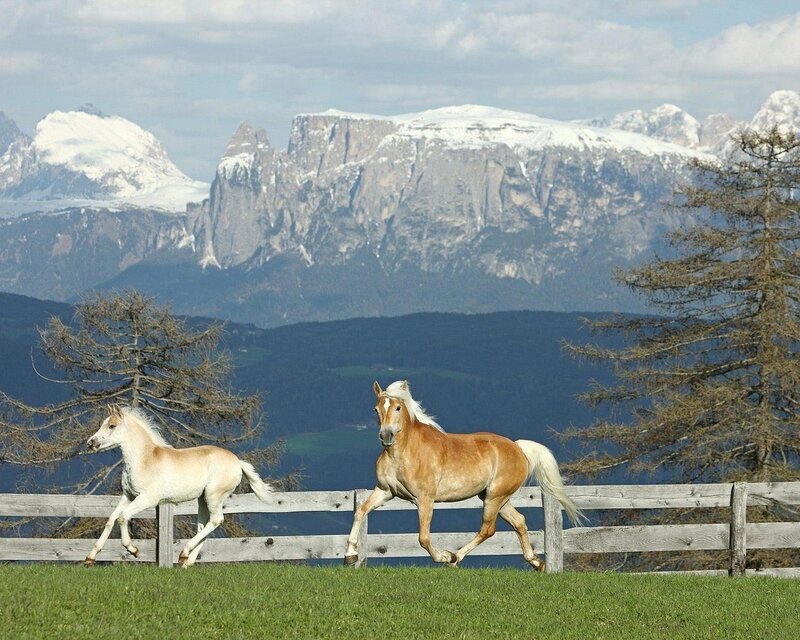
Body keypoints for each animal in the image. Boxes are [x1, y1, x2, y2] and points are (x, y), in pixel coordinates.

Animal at [84, 404, 272, 567]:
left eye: (112, 426)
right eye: (102, 424)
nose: (90, 443)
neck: (144, 459)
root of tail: (237, 462)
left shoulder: (148, 499)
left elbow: (123, 517)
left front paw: (134, 550)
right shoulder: (128, 496)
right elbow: (111, 519)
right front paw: (90, 558)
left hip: (214, 495)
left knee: (216, 520)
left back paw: (184, 553)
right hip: (202, 499)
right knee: (204, 525)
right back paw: (186, 562)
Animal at [345, 380, 584, 569]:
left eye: (397, 407)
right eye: (376, 409)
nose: (386, 436)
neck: (404, 453)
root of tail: (518, 448)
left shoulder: (425, 499)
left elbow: (423, 538)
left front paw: (442, 556)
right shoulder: (385, 491)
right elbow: (360, 512)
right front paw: (350, 556)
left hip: (495, 497)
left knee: (488, 529)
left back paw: (454, 557)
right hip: (495, 497)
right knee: (519, 521)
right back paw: (536, 563)